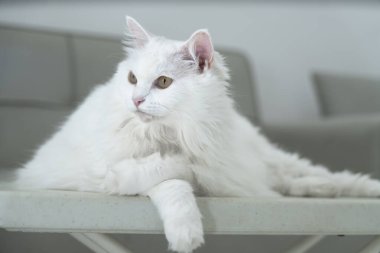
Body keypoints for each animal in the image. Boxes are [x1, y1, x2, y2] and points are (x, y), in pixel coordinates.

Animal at [16, 16, 380, 252]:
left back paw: (346, 188)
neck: (172, 131)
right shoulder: (106, 173)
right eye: (132, 78)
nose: (135, 100)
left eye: (163, 82)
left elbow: (184, 171)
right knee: (281, 182)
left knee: (314, 176)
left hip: (270, 159)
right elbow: (171, 181)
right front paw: (185, 233)